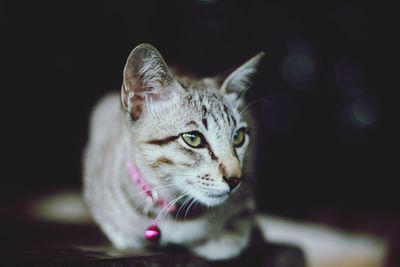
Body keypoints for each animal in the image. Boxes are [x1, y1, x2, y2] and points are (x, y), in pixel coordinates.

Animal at [83, 43, 388, 266]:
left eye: (239, 137)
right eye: (193, 139)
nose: (235, 179)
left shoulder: (249, 202)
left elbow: (238, 233)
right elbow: (119, 231)